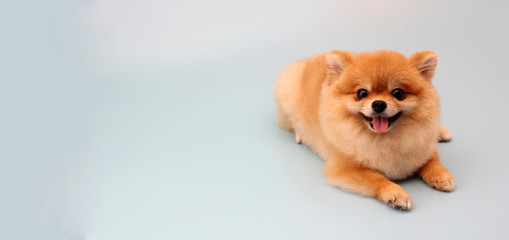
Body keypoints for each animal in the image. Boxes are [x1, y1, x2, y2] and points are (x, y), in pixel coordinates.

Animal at [276, 50, 454, 210]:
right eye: (362, 93)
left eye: (398, 93)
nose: (379, 104)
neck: (385, 138)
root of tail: (310, 59)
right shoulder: (344, 168)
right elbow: (376, 178)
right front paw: (395, 193)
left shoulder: (424, 145)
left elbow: (433, 162)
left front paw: (441, 175)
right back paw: (300, 135)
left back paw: (441, 131)